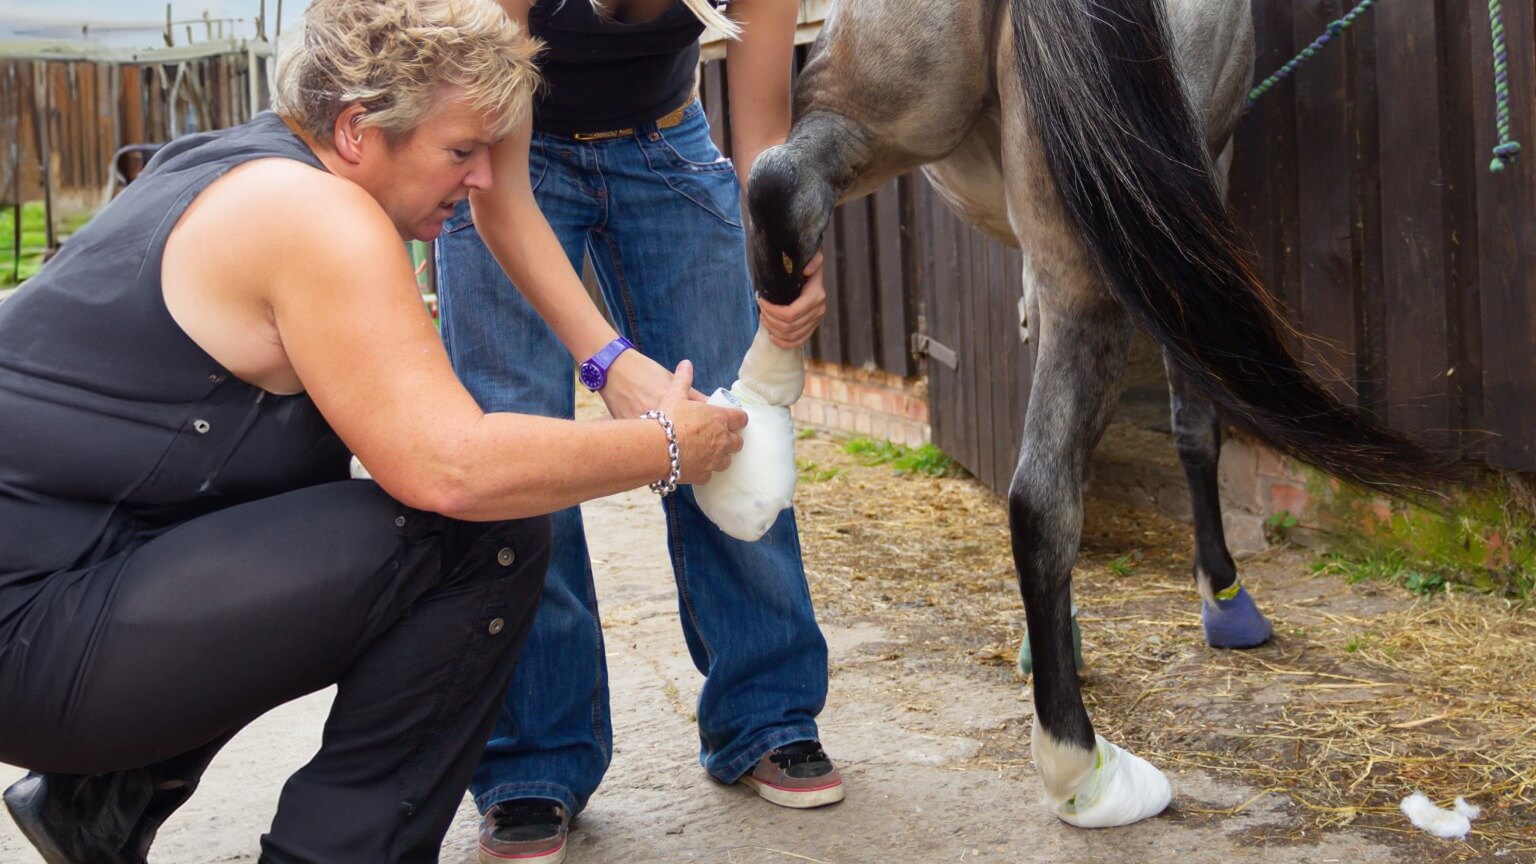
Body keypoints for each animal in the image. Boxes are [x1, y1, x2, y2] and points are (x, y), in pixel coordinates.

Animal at [743, 0, 1457, 827]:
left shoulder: (1039, 255)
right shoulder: (1192, 200)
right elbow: (1192, 425)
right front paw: (1223, 595)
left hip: (879, 116)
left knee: (778, 183)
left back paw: (761, 393)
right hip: (1099, 262)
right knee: (1042, 497)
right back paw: (1079, 763)